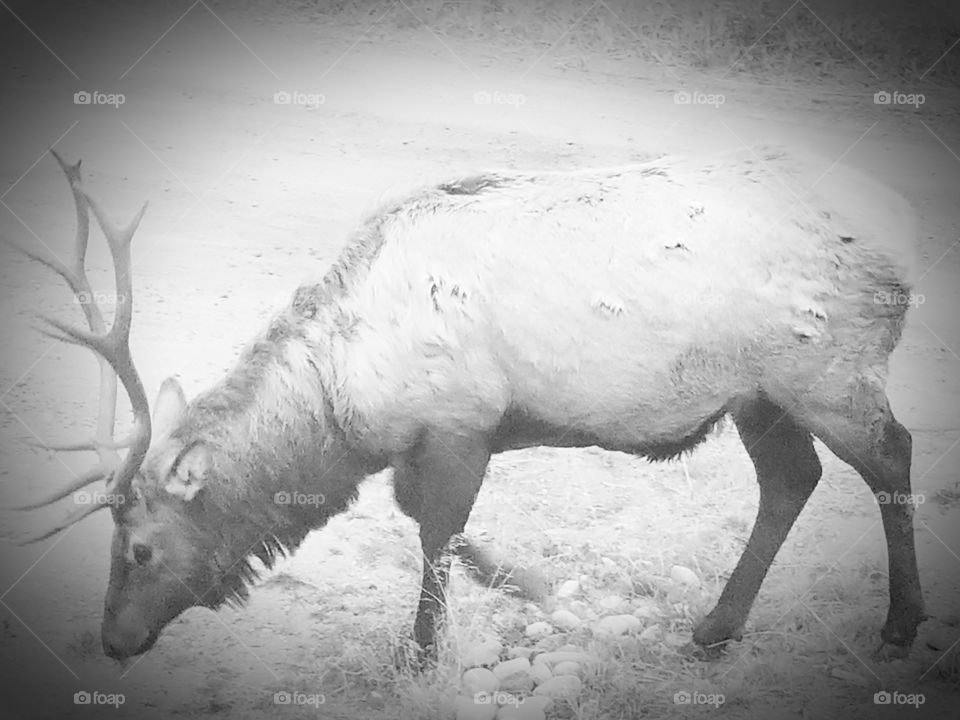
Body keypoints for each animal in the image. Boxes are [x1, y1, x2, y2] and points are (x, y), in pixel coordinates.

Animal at [9, 146, 924, 667]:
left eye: (139, 550)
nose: (113, 642)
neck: (346, 411)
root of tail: (902, 252)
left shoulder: (460, 421)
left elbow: (434, 531)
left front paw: (421, 652)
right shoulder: (426, 440)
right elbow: (429, 521)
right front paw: (532, 585)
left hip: (826, 371)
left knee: (892, 455)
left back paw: (899, 626)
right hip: (759, 394)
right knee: (791, 480)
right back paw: (716, 628)